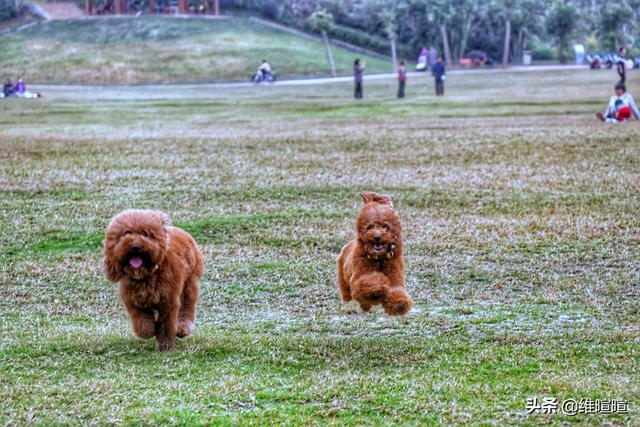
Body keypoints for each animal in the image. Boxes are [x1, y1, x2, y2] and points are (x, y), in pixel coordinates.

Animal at [104, 210, 202, 352]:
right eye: (126, 233)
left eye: (145, 234)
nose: (135, 246)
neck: (146, 274)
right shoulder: (134, 302)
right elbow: (142, 324)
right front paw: (150, 331)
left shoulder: (168, 302)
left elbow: (166, 326)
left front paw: (165, 345)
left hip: (190, 283)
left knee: (187, 307)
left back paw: (182, 328)